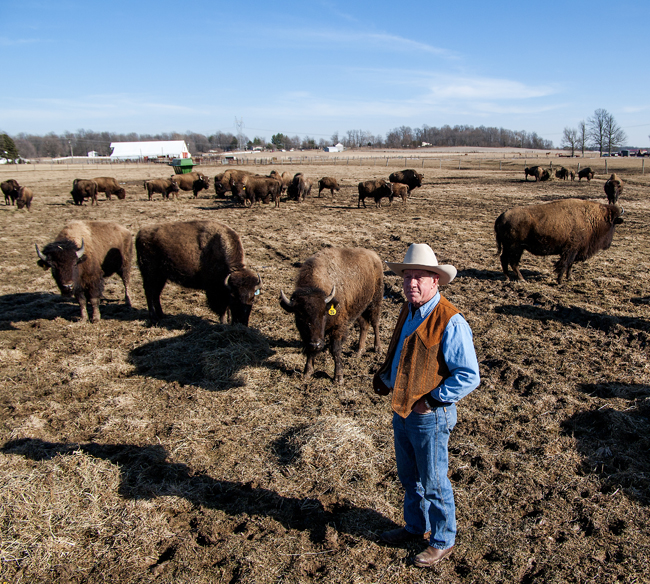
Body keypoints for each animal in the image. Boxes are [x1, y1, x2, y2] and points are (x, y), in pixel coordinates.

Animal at [280, 247, 383, 384]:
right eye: (299, 316)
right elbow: (309, 349)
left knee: (375, 323)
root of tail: (374, 255)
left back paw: (378, 348)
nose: (316, 344)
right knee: (364, 326)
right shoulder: (312, 336)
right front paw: (307, 372)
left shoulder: (338, 327)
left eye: (323, 313)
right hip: (358, 307)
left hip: (375, 301)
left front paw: (338, 377)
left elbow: (335, 349)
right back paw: (358, 351)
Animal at [495, 198, 624, 283]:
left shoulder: (574, 251)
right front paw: (560, 281)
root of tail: (501, 217)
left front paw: (570, 278)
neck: (591, 218)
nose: (608, 244)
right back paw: (521, 279)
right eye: (613, 224)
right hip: (516, 248)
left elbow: (570, 265)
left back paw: (507, 278)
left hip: (510, 247)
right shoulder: (570, 250)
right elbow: (564, 264)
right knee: (513, 262)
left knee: (504, 259)